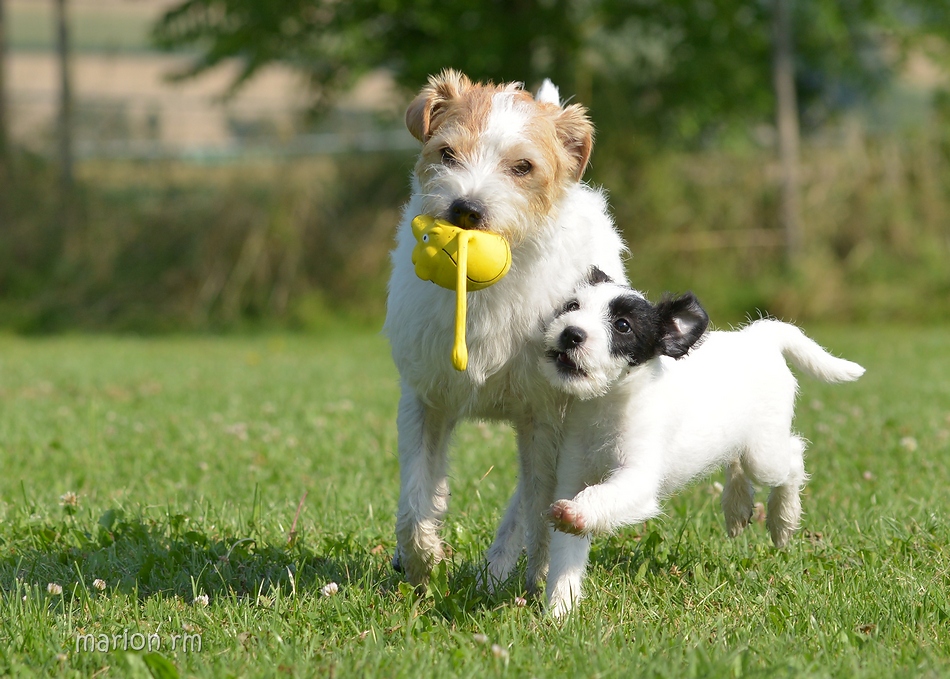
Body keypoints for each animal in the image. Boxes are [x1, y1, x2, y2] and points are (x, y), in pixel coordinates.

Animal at [384, 69, 628, 588]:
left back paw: (501, 565)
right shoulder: (424, 400)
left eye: (522, 167)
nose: (466, 209)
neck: (481, 298)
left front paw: (538, 579)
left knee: (529, 497)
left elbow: (539, 504)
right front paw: (420, 560)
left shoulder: (543, 415)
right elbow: (416, 493)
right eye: (447, 153)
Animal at [540, 270, 868, 616]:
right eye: (572, 306)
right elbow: (566, 554)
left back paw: (783, 520)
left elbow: (602, 497)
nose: (571, 333)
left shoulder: (639, 479)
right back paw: (737, 507)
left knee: (792, 457)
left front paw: (576, 514)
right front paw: (560, 609)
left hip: (765, 455)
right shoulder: (572, 476)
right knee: (736, 460)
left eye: (623, 325)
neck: (606, 403)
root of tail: (759, 336)